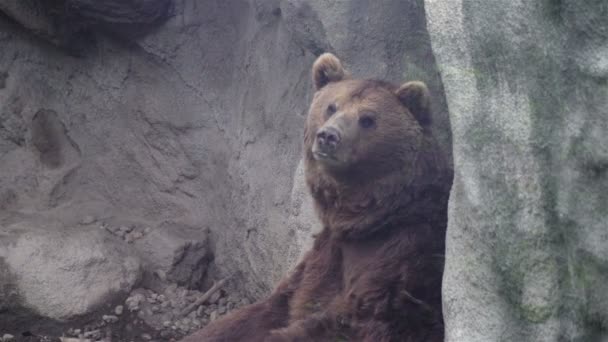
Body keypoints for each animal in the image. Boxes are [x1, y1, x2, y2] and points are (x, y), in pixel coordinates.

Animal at [183, 53, 454, 342]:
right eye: (332, 106)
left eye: (368, 119)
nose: (328, 136)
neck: (366, 220)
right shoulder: (323, 258)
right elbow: (271, 308)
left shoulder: (402, 262)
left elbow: (348, 322)